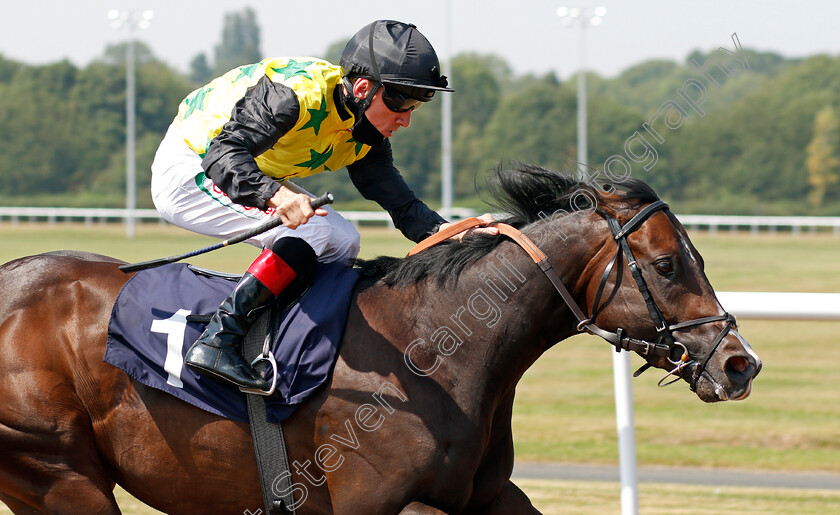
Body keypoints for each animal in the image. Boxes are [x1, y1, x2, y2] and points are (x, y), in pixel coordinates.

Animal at [0, 166, 760, 515]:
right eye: (668, 264)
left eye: (698, 256)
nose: (740, 363)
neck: (431, 352)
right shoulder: (377, 502)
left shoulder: (488, 496)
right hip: (58, 471)